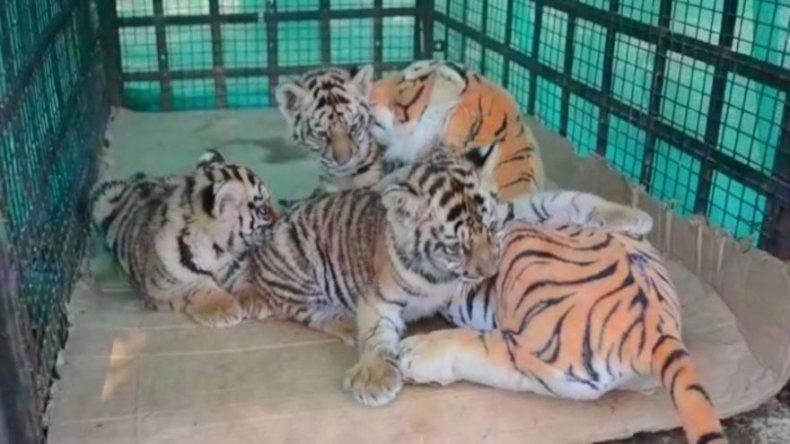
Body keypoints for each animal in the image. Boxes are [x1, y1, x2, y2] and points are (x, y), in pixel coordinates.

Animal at [90, 150, 277, 328]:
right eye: (264, 210)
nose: (280, 219)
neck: (217, 251)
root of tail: (138, 177)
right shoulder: (161, 287)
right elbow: (196, 287)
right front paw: (225, 309)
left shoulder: (238, 269)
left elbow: (245, 281)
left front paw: (258, 301)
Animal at [245, 151, 511, 406]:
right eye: (455, 247)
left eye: (492, 228)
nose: (491, 272)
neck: (439, 276)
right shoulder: (378, 297)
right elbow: (376, 332)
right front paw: (374, 378)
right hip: (295, 262)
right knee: (304, 311)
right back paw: (347, 323)